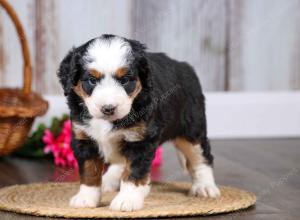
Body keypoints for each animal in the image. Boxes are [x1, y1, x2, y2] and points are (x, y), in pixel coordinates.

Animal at [57, 34, 220, 211]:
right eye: (92, 80)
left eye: (125, 80)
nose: (108, 108)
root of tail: (185, 66)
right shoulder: (84, 137)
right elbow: (89, 171)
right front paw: (86, 198)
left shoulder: (140, 140)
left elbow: (133, 172)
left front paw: (127, 199)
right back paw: (110, 179)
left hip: (191, 129)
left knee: (201, 157)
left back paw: (204, 186)